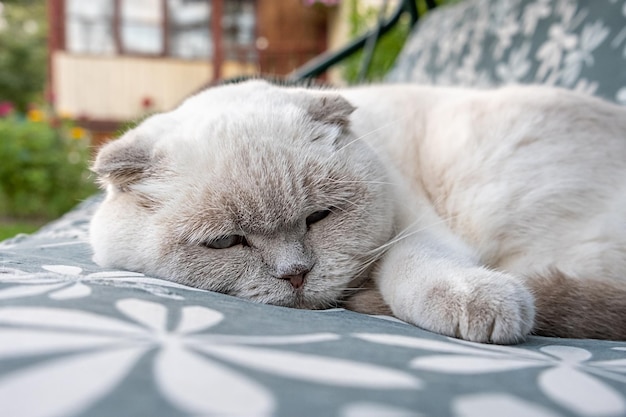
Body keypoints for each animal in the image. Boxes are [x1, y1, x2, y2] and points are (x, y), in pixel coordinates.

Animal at [89, 79, 624, 342]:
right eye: (225, 242)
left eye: (318, 217)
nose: (296, 274)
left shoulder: (415, 224)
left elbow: (414, 265)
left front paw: (482, 306)